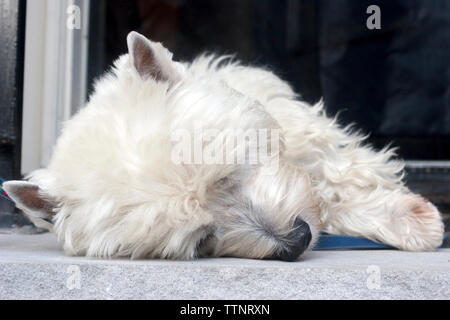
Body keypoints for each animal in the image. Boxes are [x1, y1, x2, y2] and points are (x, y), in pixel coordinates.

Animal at [3, 31, 444, 260]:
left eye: (228, 175)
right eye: (203, 239)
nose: (297, 242)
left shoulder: (292, 123)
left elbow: (336, 169)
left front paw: (406, 219)